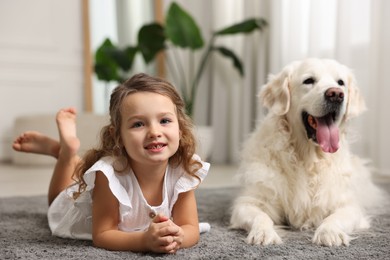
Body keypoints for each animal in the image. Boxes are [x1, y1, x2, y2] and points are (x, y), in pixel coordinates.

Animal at [230, 58, 386, 246]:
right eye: (309, 80)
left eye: (340, 82)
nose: (336, 94)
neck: (309, 159)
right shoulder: (250, 202)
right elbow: (261, 216)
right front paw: (263, 233)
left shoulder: (348, 205)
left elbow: (335, 217)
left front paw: (329, 232)